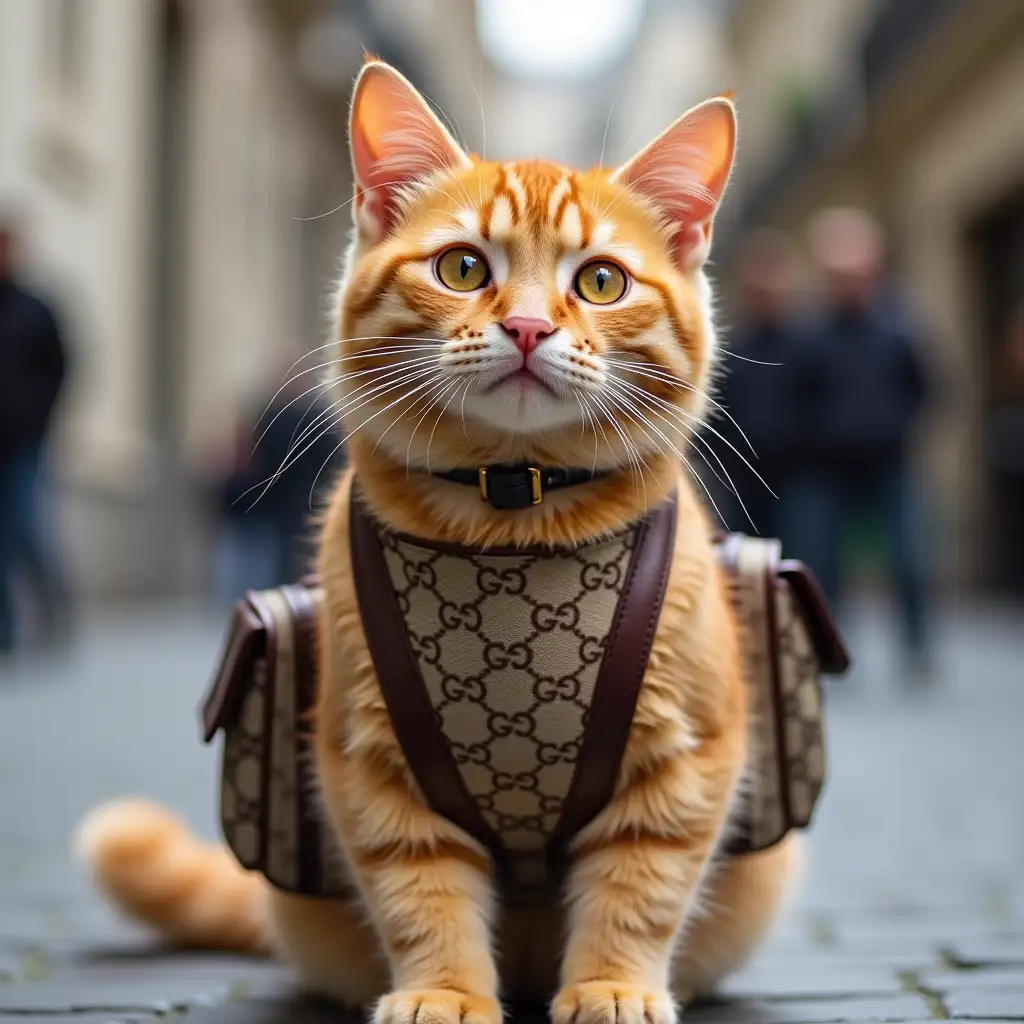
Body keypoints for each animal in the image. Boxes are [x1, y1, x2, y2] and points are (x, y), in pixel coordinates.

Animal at [79, 61, 798, 1024]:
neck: (512, 509)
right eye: (463, 268)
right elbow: (420, 896)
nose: (528, 327)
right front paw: (444, 992)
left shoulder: (686, 762)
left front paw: (611, 984)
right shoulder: (374, 768)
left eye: (601, 283)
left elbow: (639, 889)